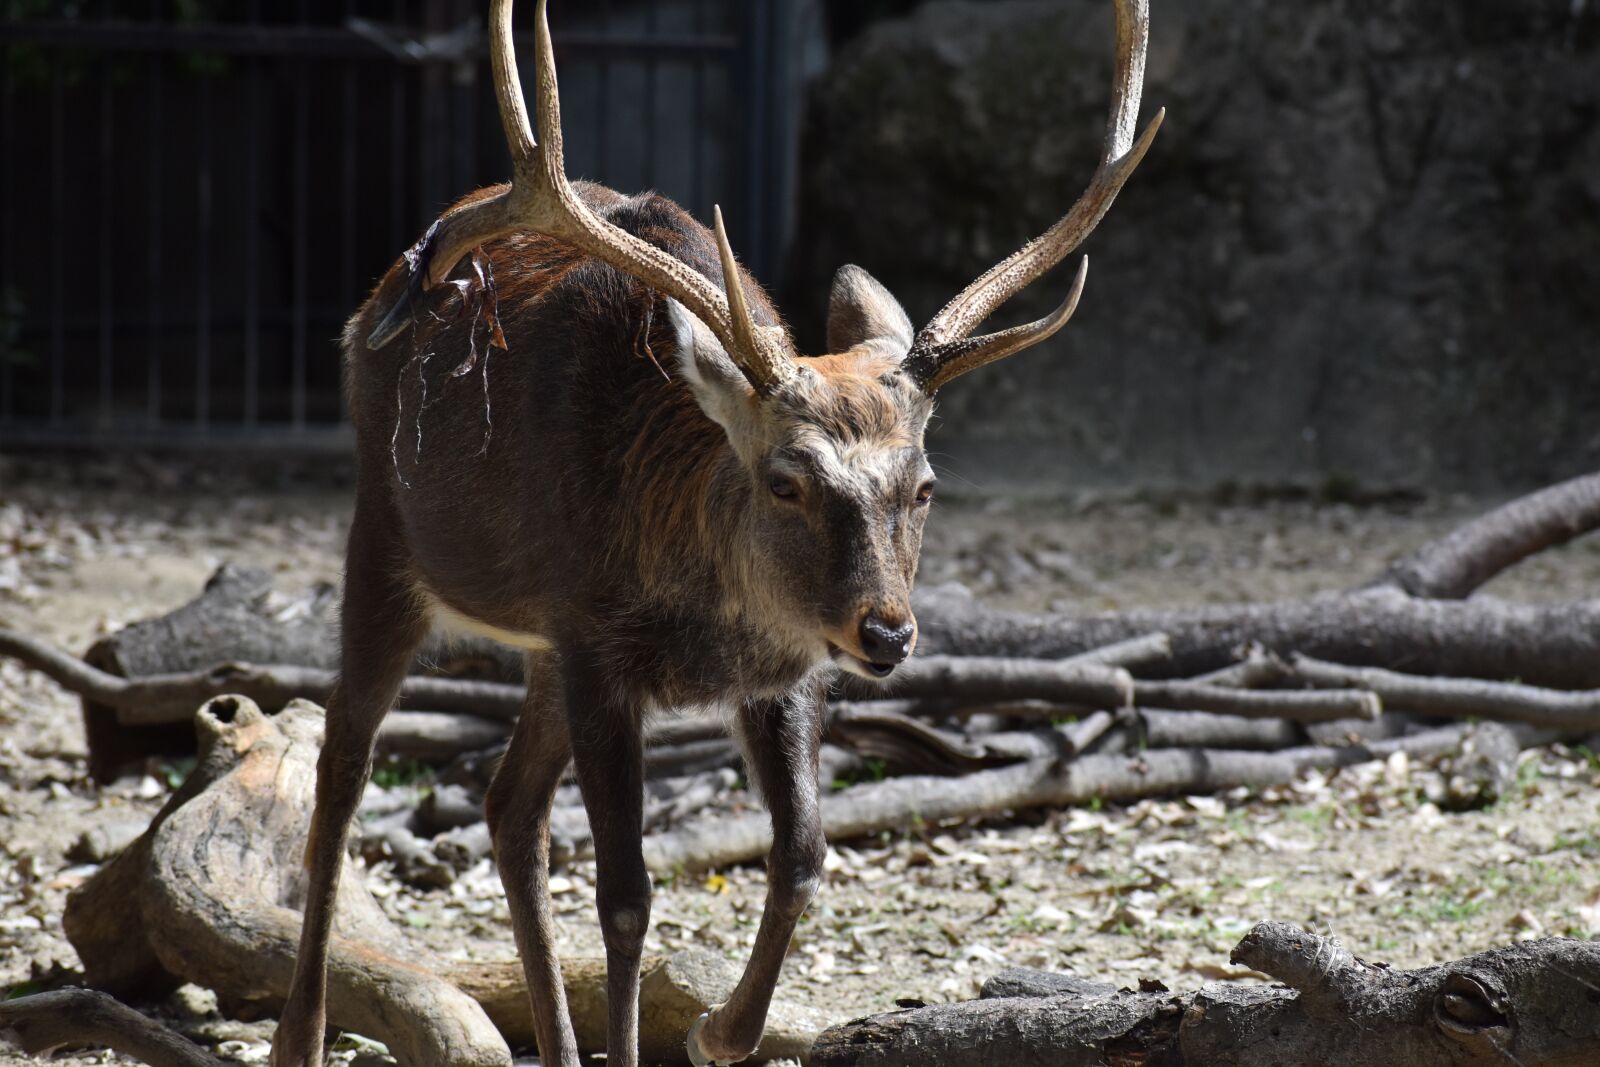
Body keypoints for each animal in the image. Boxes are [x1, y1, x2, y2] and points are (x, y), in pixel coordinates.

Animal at [271, 0, 1160, 1064]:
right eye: (786, 480)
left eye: (925, 485)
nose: (888, 632)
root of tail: (372, 304)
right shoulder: (599, 646)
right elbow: (625, 896)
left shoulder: (781, 665)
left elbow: (805, 852)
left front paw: (721, 1030)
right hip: (386, 534)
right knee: (341, 767)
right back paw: (298, 1034)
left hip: (542, 642)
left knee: (509, 805)